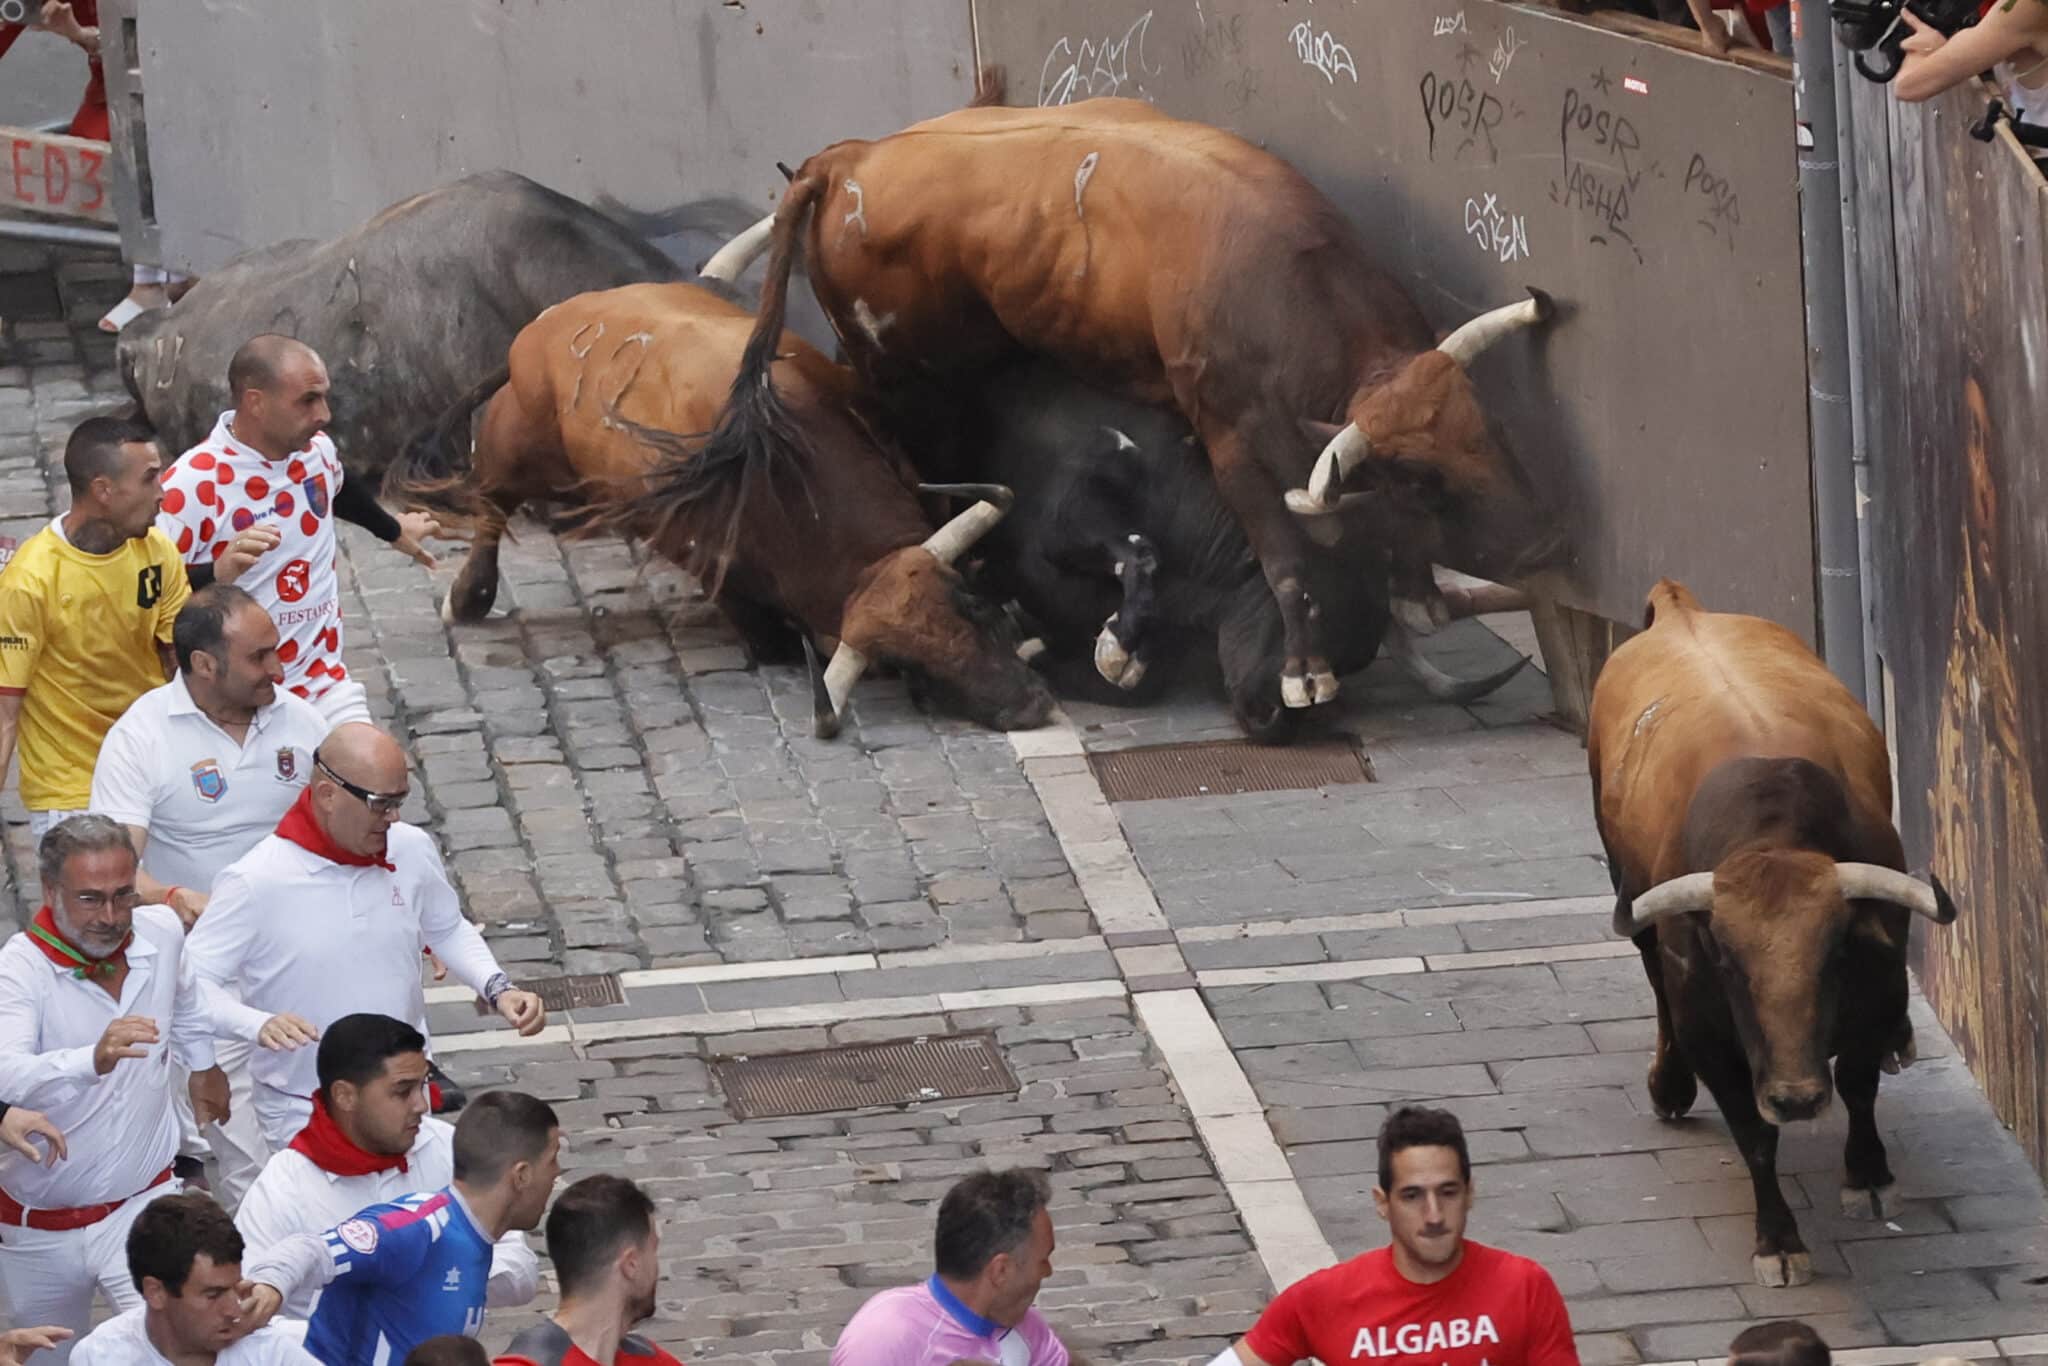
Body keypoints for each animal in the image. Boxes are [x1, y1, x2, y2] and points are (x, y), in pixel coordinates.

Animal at [385, 278, 1056, 737]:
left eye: (971, 605)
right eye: (908, 662)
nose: (1029, 705)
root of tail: (552, 321)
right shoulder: (722, 570)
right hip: (514, 448)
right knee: (491, 507)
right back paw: (469, 597)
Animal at [937, 366, 1531, 737]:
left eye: (1354, 663)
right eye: (1311, 608)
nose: (1278, 720)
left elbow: (1139, 681)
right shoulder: (1071, 514)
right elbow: (1136, 553)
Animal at [1581, 581, 1949, 1286]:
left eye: (1836, 955)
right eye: (1727, 962)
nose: (1798, 1099)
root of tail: (1679, 609)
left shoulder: (1879, 988)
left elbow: (1859, 1082)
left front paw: (1868, 1176)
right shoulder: (1712, 1036)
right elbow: (1754, 1136)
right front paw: (1778, 1239)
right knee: (1656, 983)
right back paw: (1670, 1085)